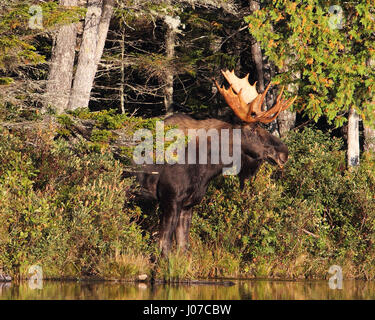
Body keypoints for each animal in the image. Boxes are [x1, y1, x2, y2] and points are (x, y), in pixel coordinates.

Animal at [126, 70, 296, 258]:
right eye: (252, 129)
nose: (284, 153)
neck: (205, 166)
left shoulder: (188, 205)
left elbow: (183, 248)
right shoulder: (170, 200)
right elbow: (164, 246)